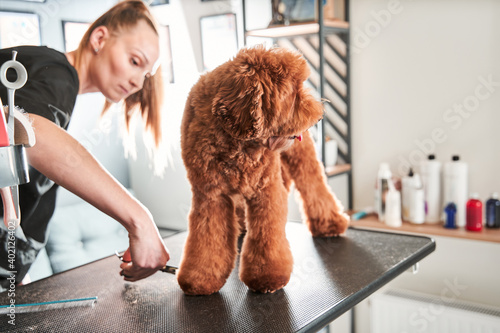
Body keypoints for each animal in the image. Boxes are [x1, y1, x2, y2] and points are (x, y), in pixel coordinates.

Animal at [179, 46, 348, 294]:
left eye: (301, 86)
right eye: (293, 93)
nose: (319, 115)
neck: (237, 142)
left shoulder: (266, 191)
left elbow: (266, 235)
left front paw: (268, 277)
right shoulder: (210, 197)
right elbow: (207, 239)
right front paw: (200, 278)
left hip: (302, 158)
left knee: (313, 184)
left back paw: (330, 224)